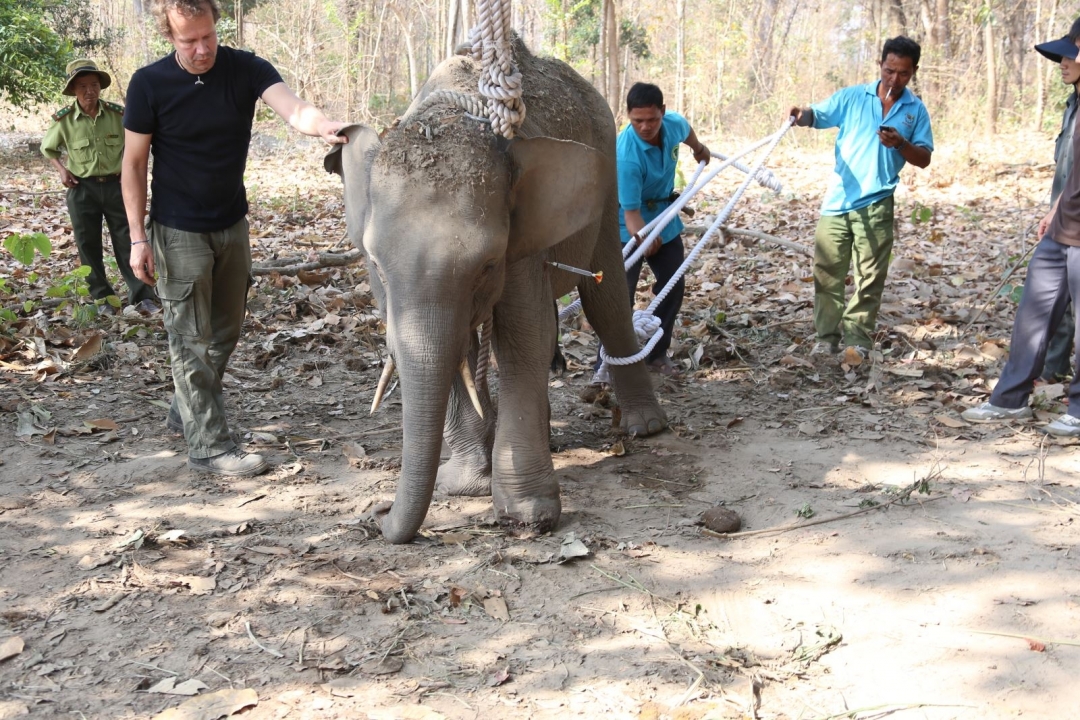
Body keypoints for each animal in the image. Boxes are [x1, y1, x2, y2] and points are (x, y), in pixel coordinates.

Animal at [324, 33, 665, 539]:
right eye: (379, 267)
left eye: (486, 265)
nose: (378, 514)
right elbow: (451, 348)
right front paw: (466, 486)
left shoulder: (518, 245)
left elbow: (524, 338)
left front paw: (528, 515)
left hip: (608, 190)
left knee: (605, 300)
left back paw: (645, 427)